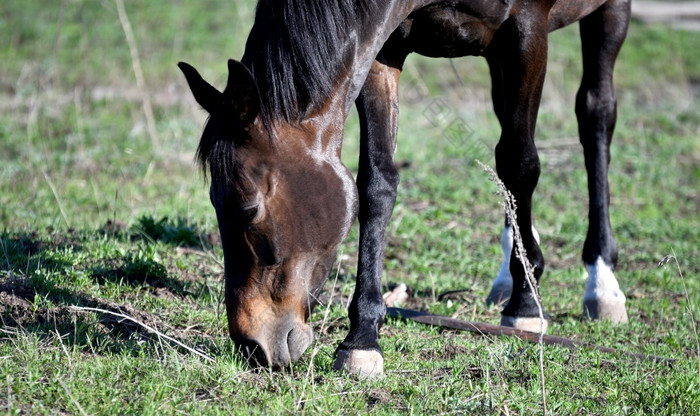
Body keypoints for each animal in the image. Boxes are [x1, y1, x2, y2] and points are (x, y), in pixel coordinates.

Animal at [178, 0, 632, 376]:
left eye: (248, 209)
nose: (251, 345)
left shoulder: (527, 30)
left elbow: (520, 164)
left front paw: (525, 305)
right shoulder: (385, 48)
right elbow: (377, 183)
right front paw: (361, 341)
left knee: (595, 115)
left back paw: (599, 281)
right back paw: (511, 267)